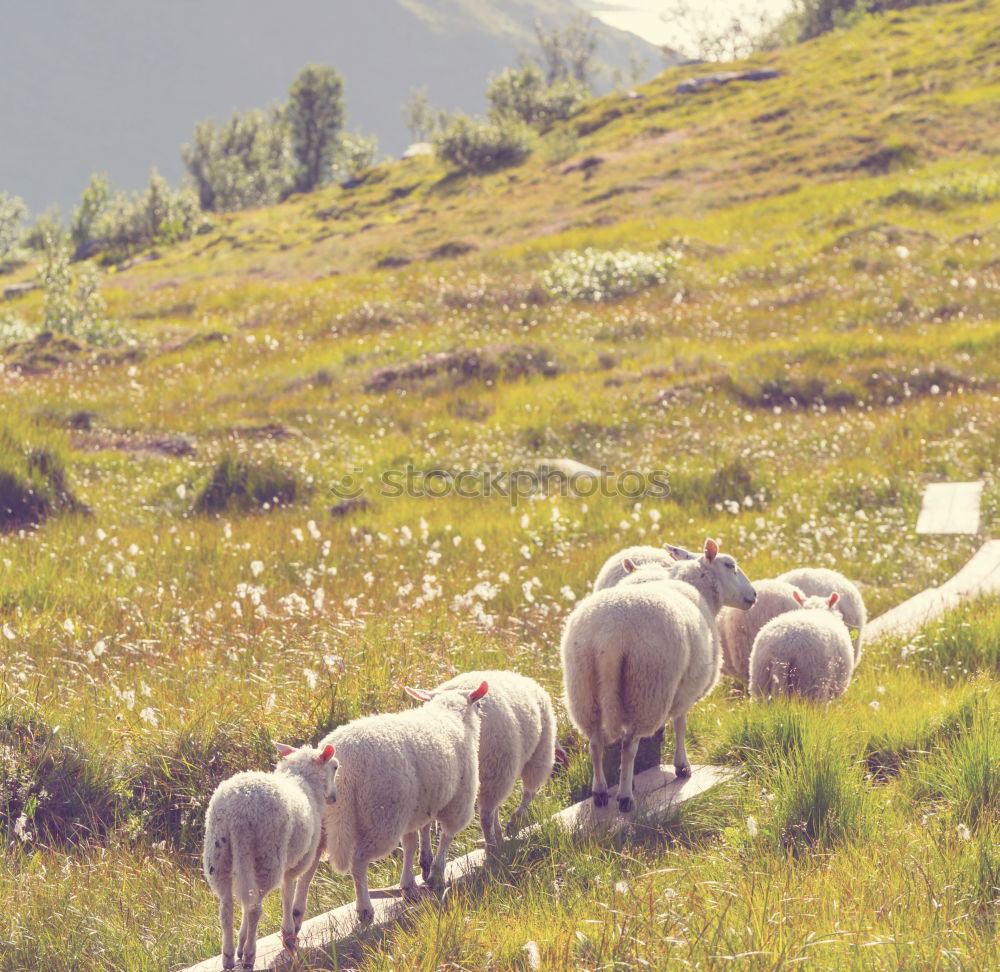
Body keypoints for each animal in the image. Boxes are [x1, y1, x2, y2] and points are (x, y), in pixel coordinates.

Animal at [203, 740, 340, 968]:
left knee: (227, 907)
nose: (334, 798)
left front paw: (241, 942)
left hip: (218, 854)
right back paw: (249, 955)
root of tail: (240, 810)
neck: (303, 783)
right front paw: (289, 934)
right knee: (254, 908)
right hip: (267, 855)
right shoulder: (296, 863)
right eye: (335, 767)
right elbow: (287, 893)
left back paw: (229, 956)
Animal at [308, 680, 488, 924]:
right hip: (381, 815)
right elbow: (446, 837)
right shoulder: (459, 801)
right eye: (478, 704)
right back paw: (364, 909)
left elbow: (411, 844)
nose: (483, 711)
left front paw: (411, 881)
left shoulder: (415, 808)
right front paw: (436, 875)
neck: (449, 714)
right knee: (358, 862)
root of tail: (346, 767)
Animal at [404, 668, 564, 864]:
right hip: (513, 762)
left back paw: (427, 858)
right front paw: (505, 830)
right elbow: (520, 798)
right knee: (494, 810)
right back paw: (494, 845)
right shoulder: (506, 768)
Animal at [560, 540, 752, 812]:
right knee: (629, 745)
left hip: (584, 687)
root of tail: (610, 635)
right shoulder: (685, 687)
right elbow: (681, 724)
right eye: (730, 565)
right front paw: (682, 766)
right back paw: (625, 796)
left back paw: (600, 792)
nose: (754, 596)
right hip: (647, 687)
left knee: (595, 743)